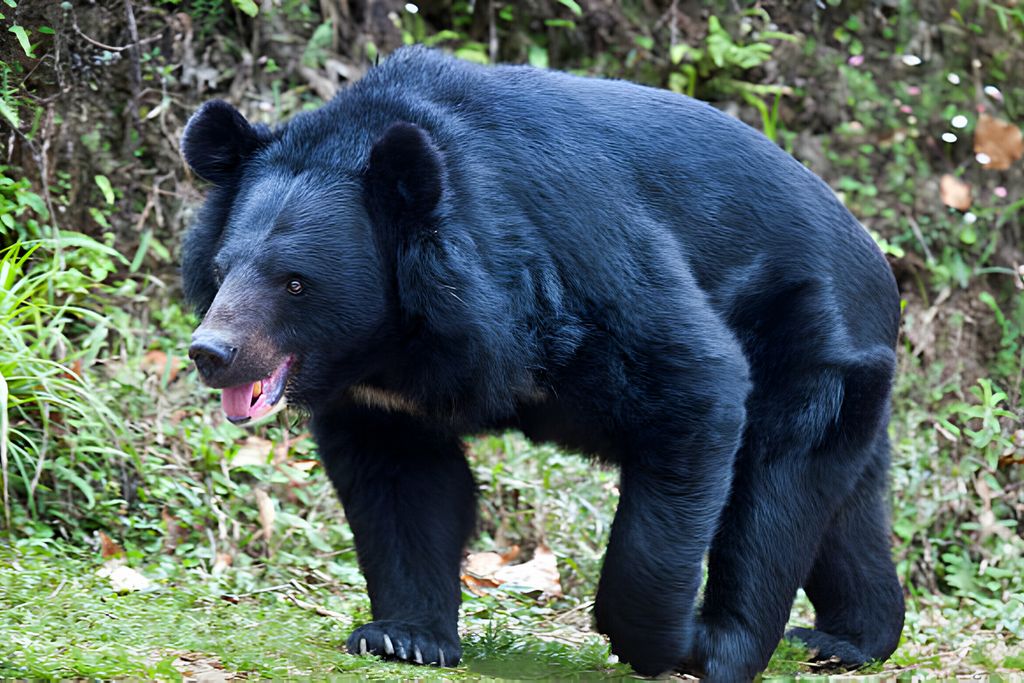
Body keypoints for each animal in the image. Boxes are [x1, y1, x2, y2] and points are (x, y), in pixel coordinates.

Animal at [180, 45, 905, 680]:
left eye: (295, 283)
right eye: (221, 270)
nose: (212, 353)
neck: (394, 339)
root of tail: (876, 260)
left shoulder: (577, 261)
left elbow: (694, 381)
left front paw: (662, 641)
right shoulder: (381, 397)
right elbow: (402, 484)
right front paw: (403, 637)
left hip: (809, 341)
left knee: (775, 495)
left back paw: (726, 647)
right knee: (845, 505)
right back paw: (847, 637)